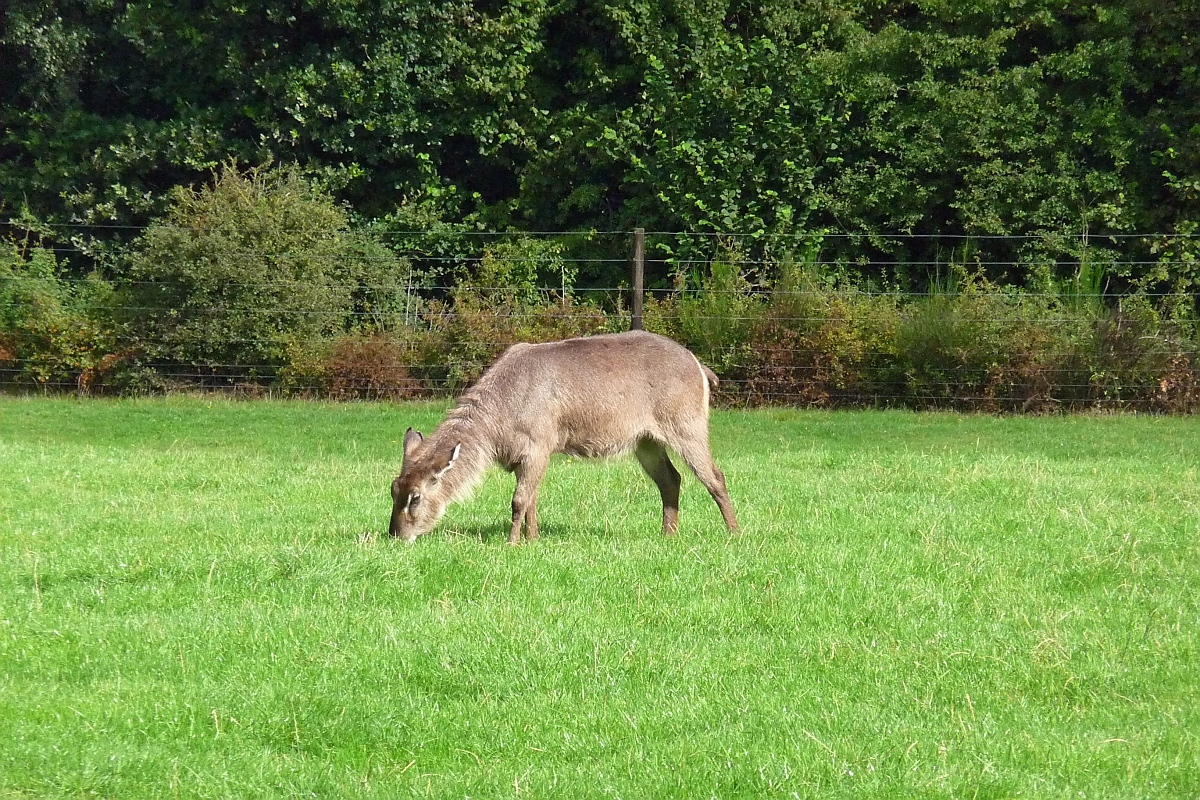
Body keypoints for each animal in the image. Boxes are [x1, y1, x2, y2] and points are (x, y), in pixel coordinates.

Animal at [388, 331, 734, 544]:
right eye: (393, 490)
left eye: (415, 497)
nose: (395, 535)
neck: (498, 422)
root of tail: (700, 366)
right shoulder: (528, 457)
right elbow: (532, 501)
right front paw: (533, 539)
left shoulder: (539, 445)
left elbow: (519, 500)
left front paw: (511, 543)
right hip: (645, 441)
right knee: (671, 480)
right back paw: (668, 535)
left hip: (686, 426)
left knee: (715, 476)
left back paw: (734, 533)